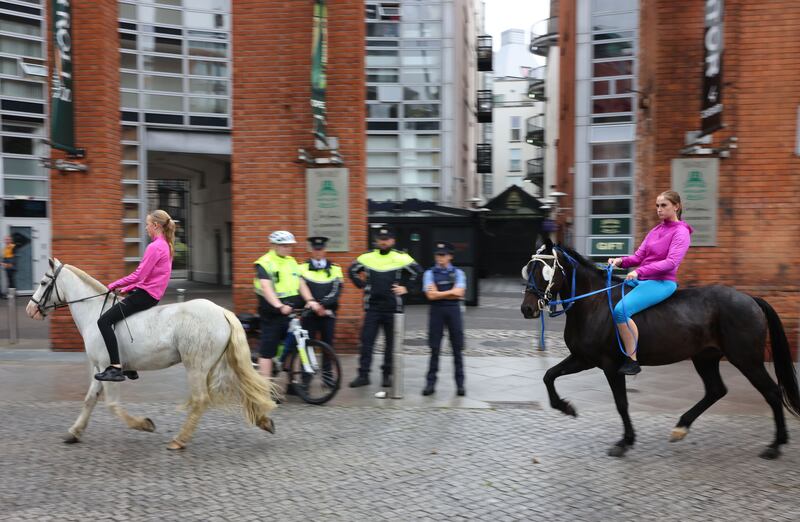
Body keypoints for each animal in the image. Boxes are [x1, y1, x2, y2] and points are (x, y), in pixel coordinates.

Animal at [25, 258, 278, 448]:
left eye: (44, 282)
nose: (30, 309)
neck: (93, 313)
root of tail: (222, 311)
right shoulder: (99, 368)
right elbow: (89, 400)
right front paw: (74, 432)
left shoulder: (108, 368)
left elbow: (112, 405)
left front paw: (144, 424)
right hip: (218, 364)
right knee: (245, 386)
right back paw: (265, 421)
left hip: (196, 367)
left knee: (201, 400)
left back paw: (179, 440)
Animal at [520, 238, 800, 458]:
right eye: (528, 269)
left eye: (544, 270)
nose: (527, 309)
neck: (594, 303)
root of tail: (750, 299)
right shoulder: (582, 358)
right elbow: (549, 376)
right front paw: (565, 407)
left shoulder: (611, 365)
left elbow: (621, 403)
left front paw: (625, 442)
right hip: (705, 357)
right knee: (716, 390)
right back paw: (681, 427)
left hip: (746, 359)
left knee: (772, 392)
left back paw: (775, 445)